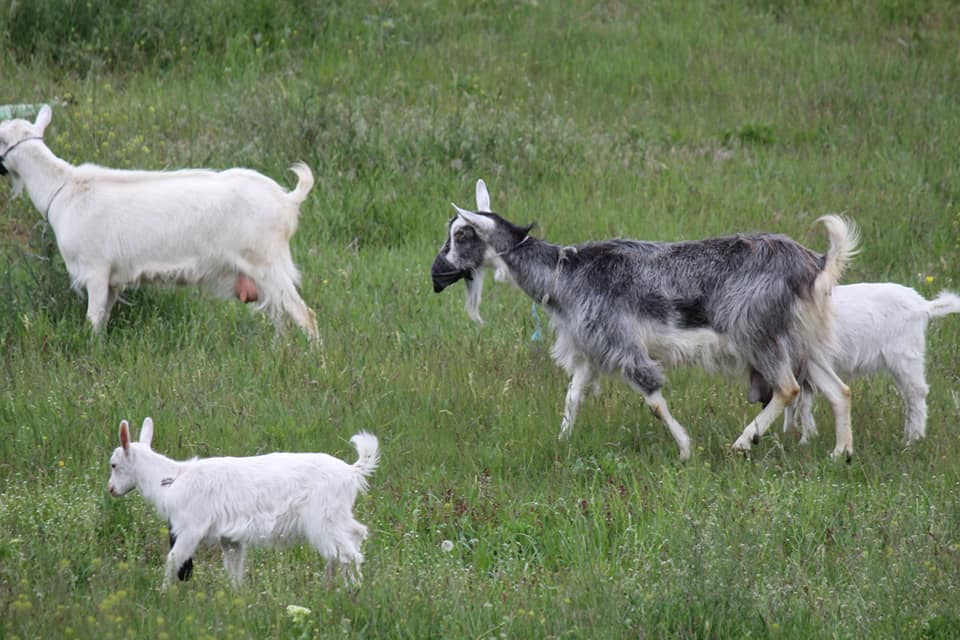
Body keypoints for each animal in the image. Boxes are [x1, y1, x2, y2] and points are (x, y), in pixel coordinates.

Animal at [0, 105, 320, 338]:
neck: (65, 188)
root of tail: (287, 200)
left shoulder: (95, 270)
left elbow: (92, 321)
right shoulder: (112, 280)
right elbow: (102, 321)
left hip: (267, 263)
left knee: (305, 315)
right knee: (281, 317)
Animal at [105, 418, 376, 588]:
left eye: (114, 465)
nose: (111, 489)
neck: (172, 478)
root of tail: (352, 471)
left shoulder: (191, 527)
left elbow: (173, 559)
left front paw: (163, 593)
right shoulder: (230, 538)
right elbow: (233, 570)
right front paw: (236, 598)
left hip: (323, 518)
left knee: (349, 555)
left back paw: (352, 592)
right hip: (338, 515)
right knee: (356, 536)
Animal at [432, 180, 860, 460]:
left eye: (461, 233)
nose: (435, 275)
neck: (565, 273)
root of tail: (814, 264)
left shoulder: (620, 343)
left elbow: (652, 399)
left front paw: (686, 450)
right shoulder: (591, 350)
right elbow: (572, 396)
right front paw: (562, 442)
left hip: (759, 334)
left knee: (788, 388)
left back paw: (742, 443)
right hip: (803, 340)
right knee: (838, 389)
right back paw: (841, 453)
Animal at [784, 284, 956, 444]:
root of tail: (922, 305)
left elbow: (801, 402)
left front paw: (803, 439)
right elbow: (798, 400)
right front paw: (797, 435)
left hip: (905, 355)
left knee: (917, 392)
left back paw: (913, 439)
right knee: (908, 395)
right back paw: (908, 436)